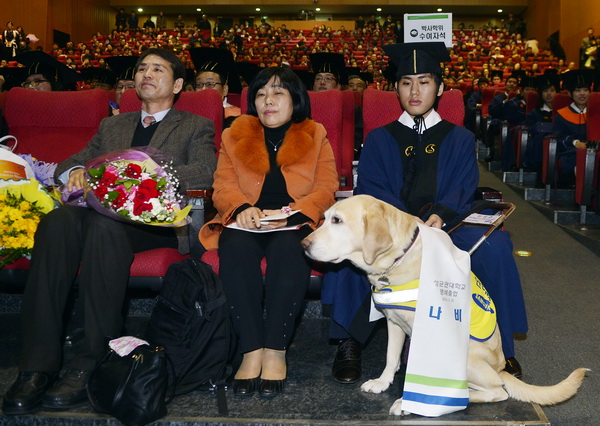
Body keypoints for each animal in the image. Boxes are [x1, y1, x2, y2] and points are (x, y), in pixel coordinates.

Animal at [302, 195, 588, 414]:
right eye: (326, 217)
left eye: (337, 221)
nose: (304, 243)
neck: (398, 259)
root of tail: (501, 368)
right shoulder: (394, 323)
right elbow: (391, 358)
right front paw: (383, 382)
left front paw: (407, 402)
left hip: (467, 358)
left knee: (497, 391)